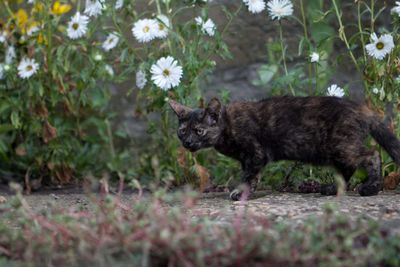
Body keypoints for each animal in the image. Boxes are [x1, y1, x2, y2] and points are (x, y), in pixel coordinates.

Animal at [168, 97, 400, 201]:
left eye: (199, 131)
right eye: (182, 131)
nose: (187, 142)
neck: (228, 125)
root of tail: (362, 108)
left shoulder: (256, 153)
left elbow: (249, 175)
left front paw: (241, 192)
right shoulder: (249, 157)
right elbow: (251, 175)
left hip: (342, 146)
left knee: (372, 155)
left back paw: (371, 188)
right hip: (336, 150)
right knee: (347, 168)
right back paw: (333, 189)